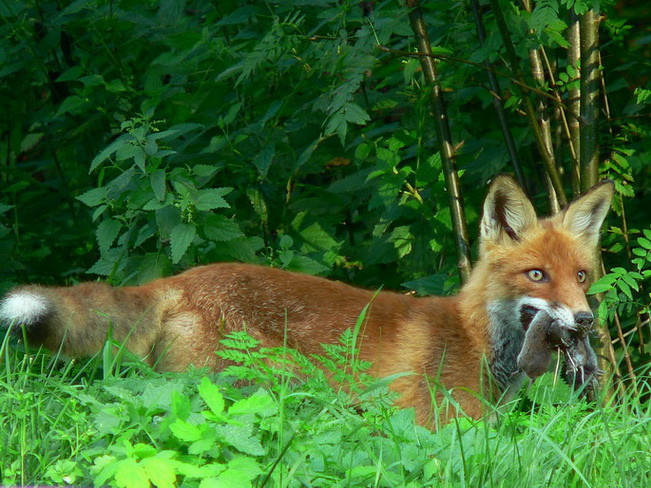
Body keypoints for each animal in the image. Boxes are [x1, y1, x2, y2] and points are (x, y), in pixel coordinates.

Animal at [0, 175, 614, 426]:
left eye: (582, 276)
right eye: (537, 275)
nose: (584, 320)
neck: (474, 340)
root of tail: (180, 277)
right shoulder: (436, 427)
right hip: (270, 382)